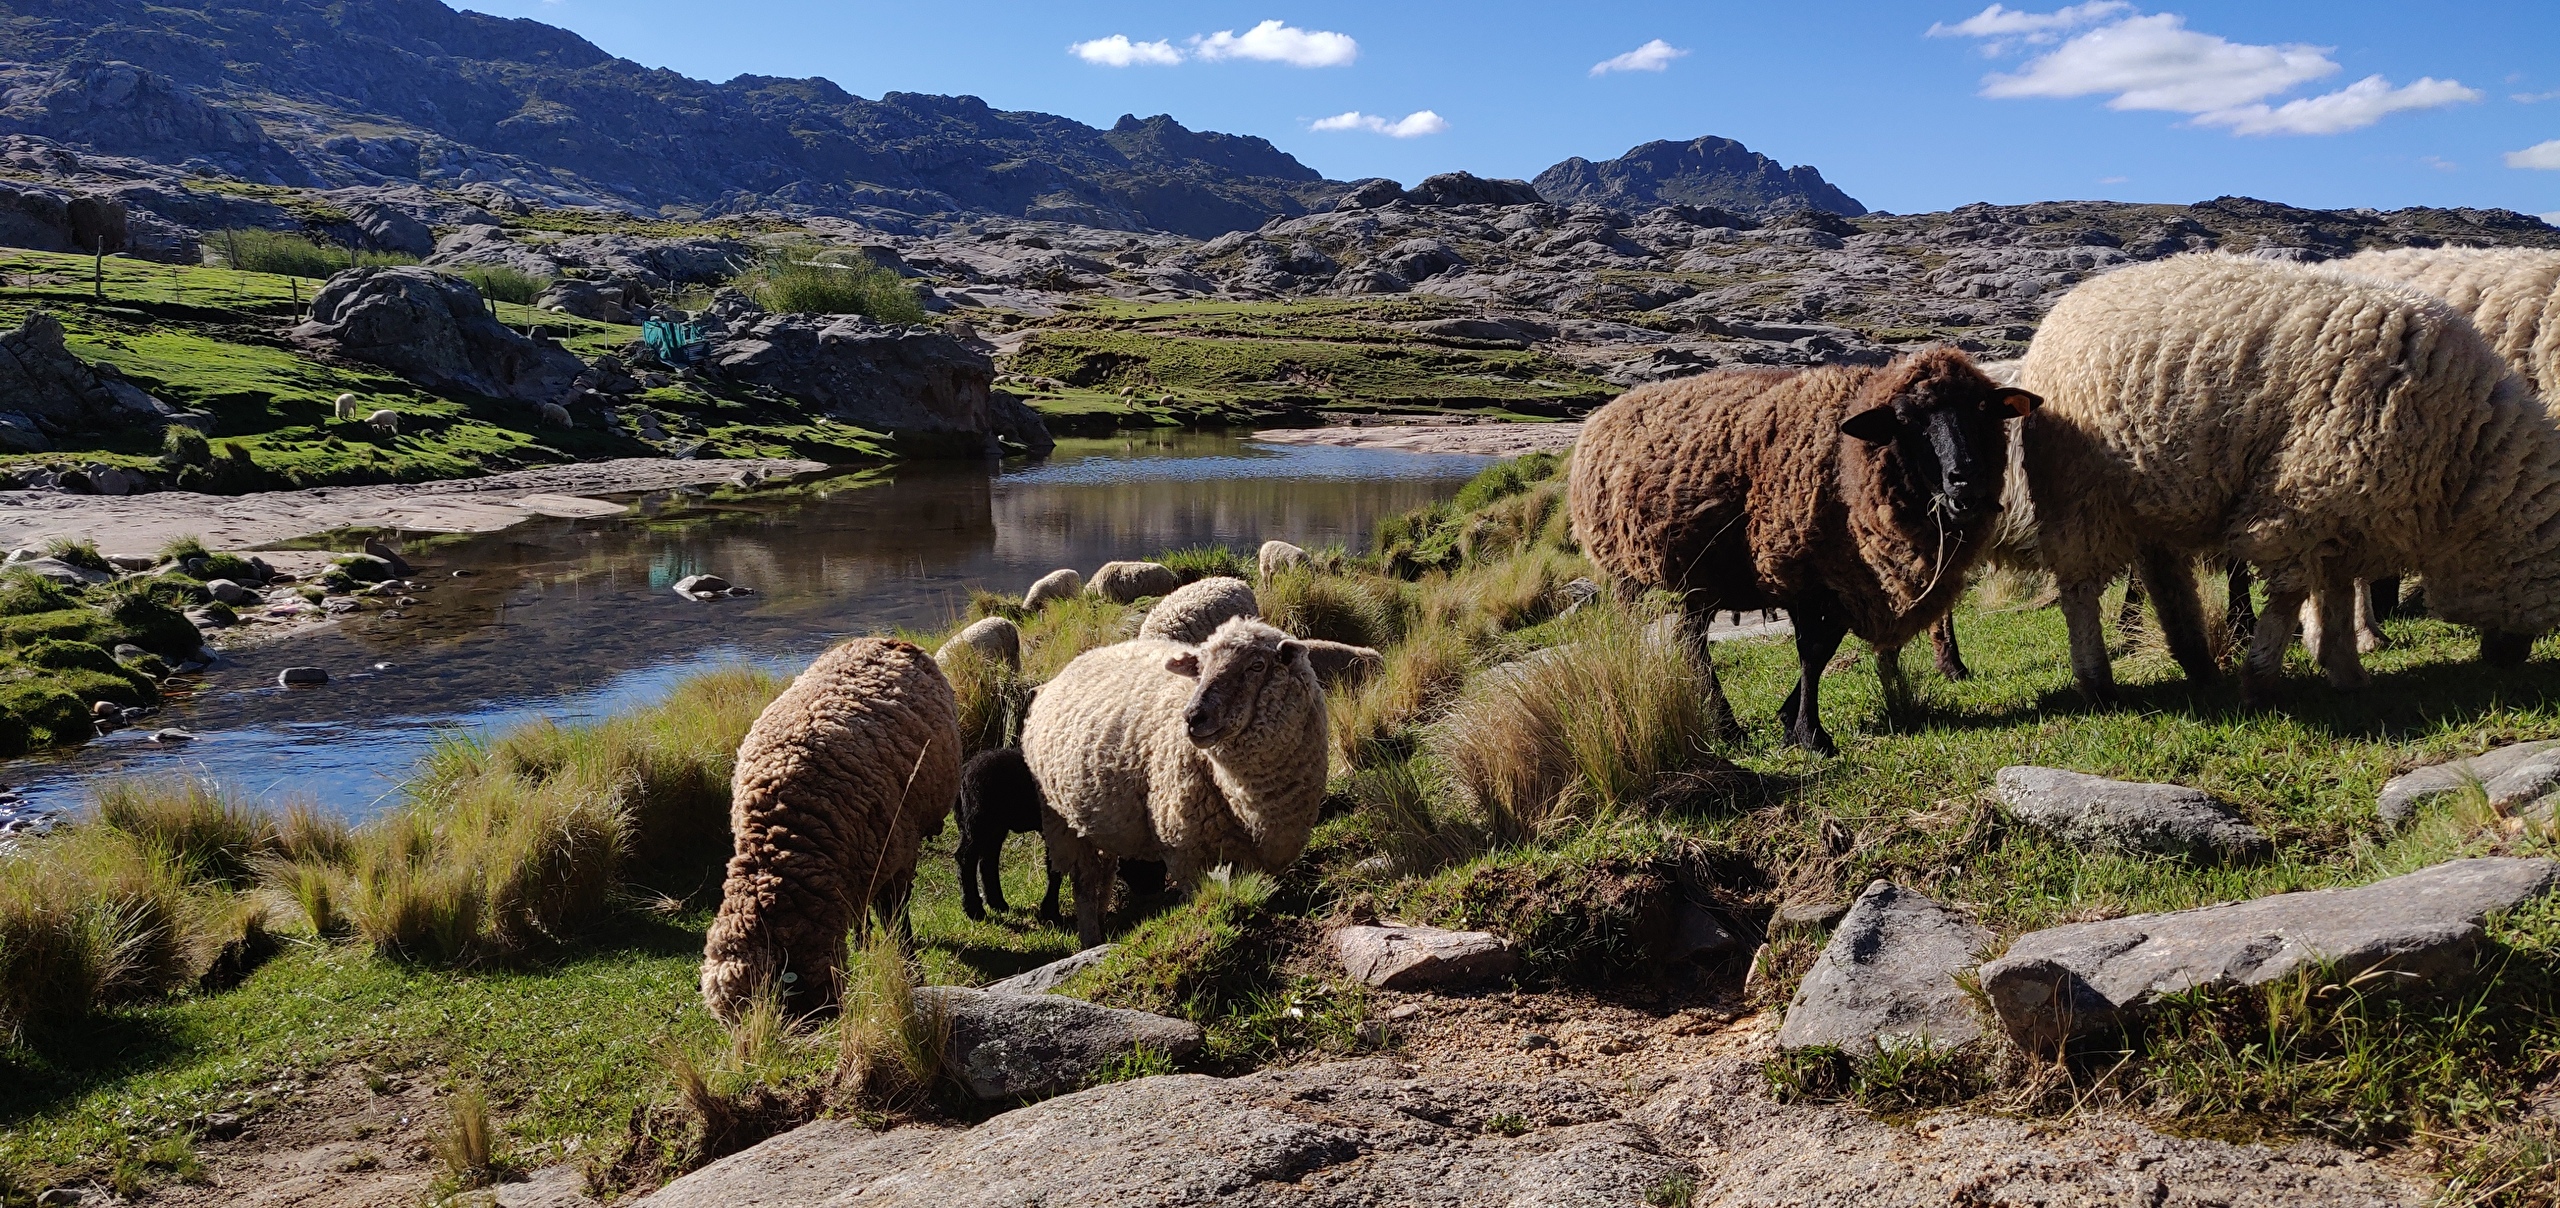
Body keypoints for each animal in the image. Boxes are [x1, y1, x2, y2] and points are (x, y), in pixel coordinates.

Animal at [701, 637, 962, 1023]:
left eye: (775, 1007)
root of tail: (883, 638)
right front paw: (866, 946)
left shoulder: (896, 858)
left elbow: (897, 921)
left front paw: (911, 972)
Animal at [1018, 619, 1331, 946]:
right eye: (1200, 668)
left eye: (1257, 665)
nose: (1193, 717)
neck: (1248, 800)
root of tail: (1074, 662)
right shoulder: (1184, 849)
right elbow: (1198, 894)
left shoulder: (1258, 854)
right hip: (1061, 822)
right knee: (1084, 882)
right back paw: (1092, 939)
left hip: (1099, 823)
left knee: (1103, 874)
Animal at [1556, 345, 2037, 752]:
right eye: (1906, 419)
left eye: (1982, 410)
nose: (1966, 478)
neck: (1847, 462)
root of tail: (1603, 413)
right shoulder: (1798, 571)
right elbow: (1811, 652)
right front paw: (1811, 735)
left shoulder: (1843, 580)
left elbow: (1825, 649)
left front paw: (1789, 720)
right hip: (1624, 570)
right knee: (1646, 633)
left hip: (1703, 576)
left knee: (1689, 641)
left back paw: (1727, 726)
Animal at [2017, 257, 2560, 706]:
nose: (2505, 660)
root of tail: (2073, 298)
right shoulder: (2301, 496)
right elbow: (2289, 594)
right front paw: (2260, 681)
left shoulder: (2342, 513)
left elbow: (2335, 593)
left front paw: (2345, 670)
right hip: (2079, 492)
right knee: (2079, 588)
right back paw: (2097, 680)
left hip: (2148, 496)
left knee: (2162, 573)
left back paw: (2197, 664)